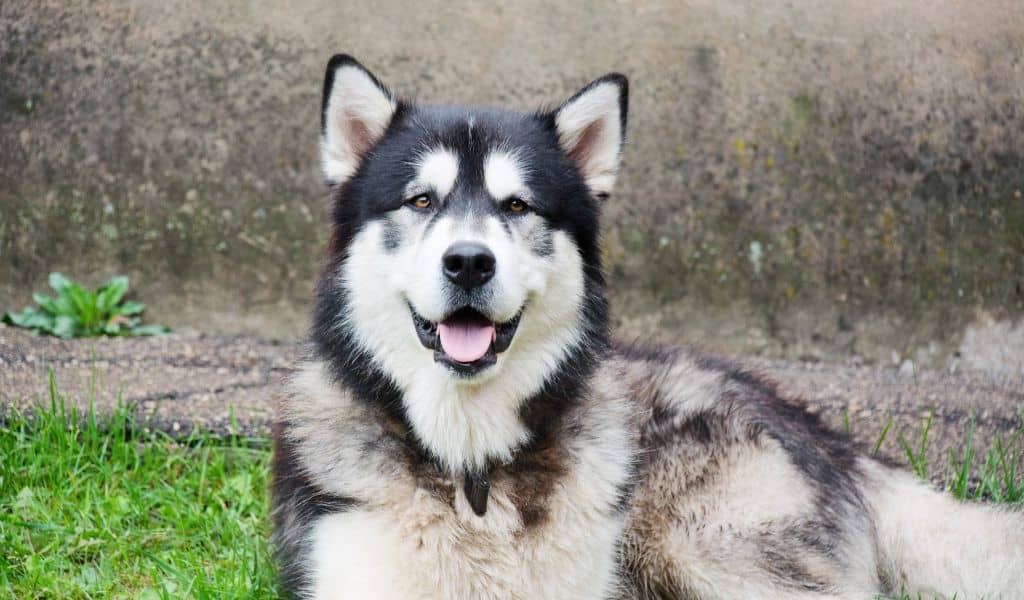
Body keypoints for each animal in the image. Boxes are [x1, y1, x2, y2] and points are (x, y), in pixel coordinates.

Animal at [268, 53, 1019, 593]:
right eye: (421, 200)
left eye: (518, 206)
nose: (469, 263)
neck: (472, 467)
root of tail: (834, 441)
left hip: (707, 552)